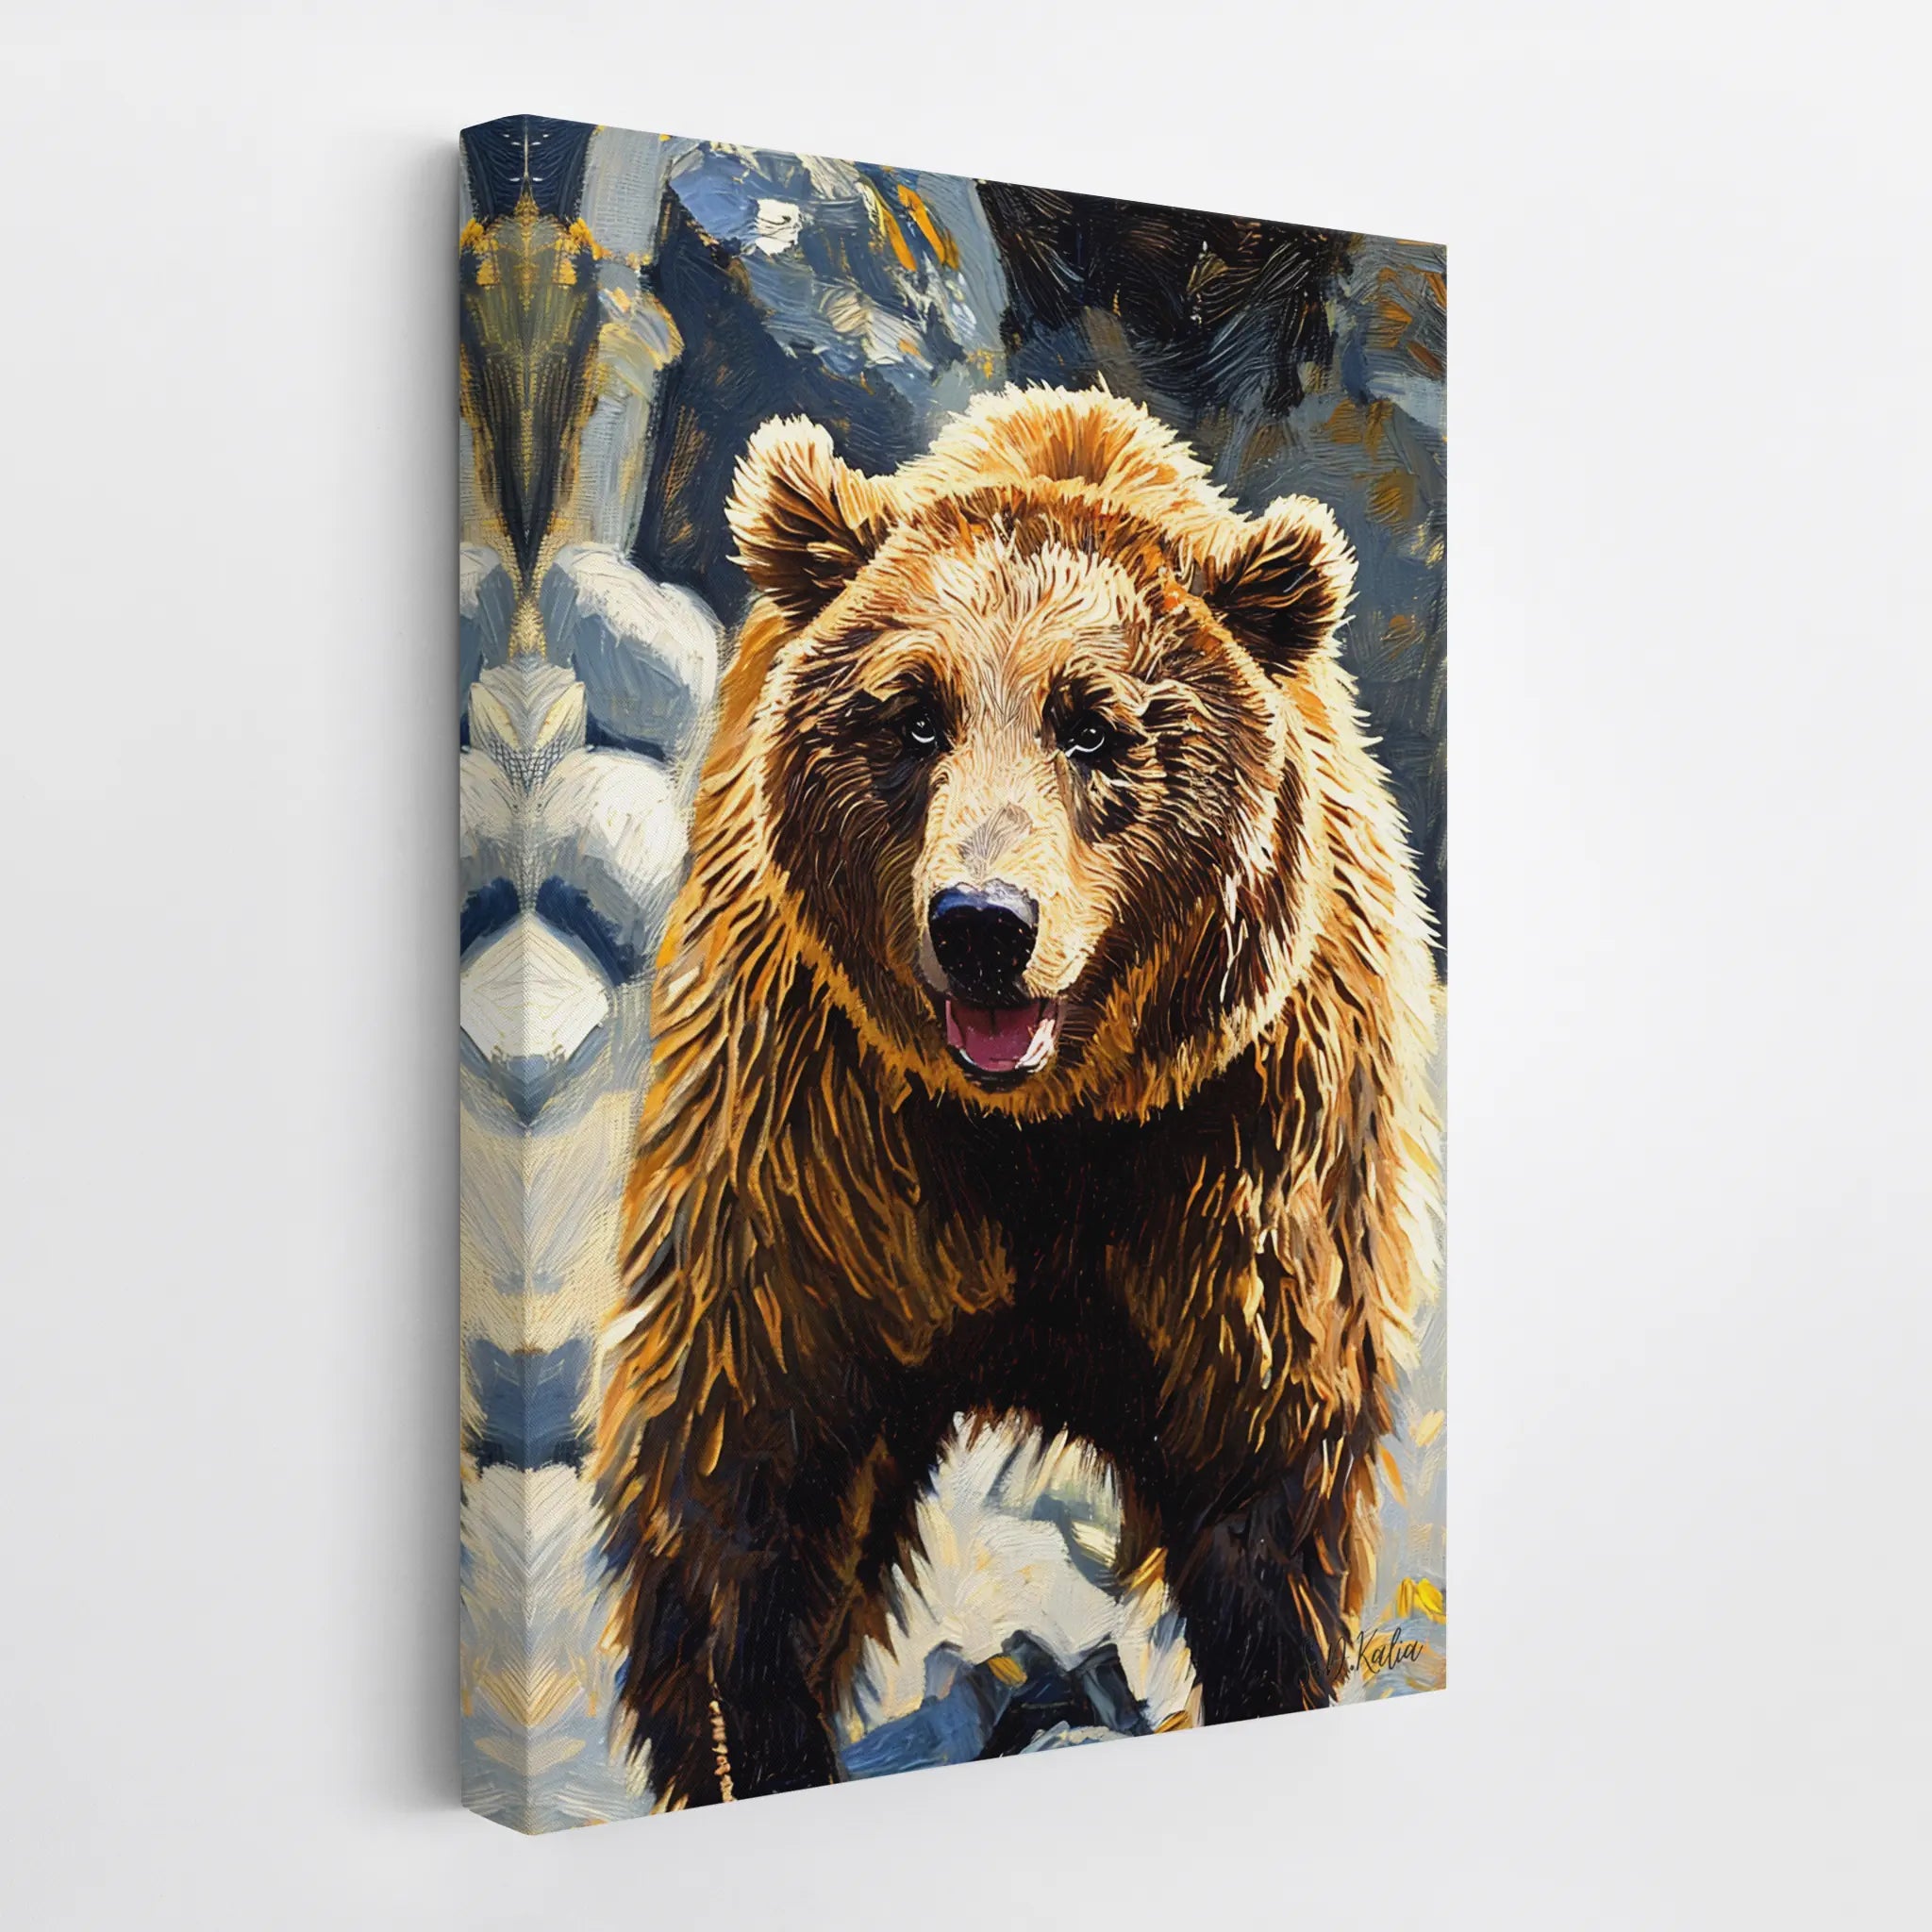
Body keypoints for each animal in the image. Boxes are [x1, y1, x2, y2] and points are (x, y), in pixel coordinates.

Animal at [593, 384, 1440, 1808]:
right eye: (911, 715)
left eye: (1092, 723)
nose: (983, 923)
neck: (1044, 1121)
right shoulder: (819, 1137)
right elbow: (751, 1472)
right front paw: (758, 1739)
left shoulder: (1240, 1155)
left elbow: (1265, 1491)